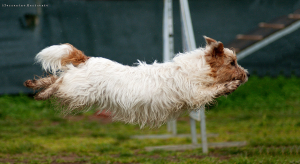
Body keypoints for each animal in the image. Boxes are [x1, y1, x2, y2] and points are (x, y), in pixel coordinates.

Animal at [24, 36, 248, 127]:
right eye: (232, 63)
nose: (246, 74)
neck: (197, 69)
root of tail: (87, 59)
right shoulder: (195, 94)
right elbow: (215, 89)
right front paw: (230, 85)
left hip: (75, 86)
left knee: (56, 77)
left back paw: (34, 85)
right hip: (77, 91)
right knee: (58, 82)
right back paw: (42, 92)